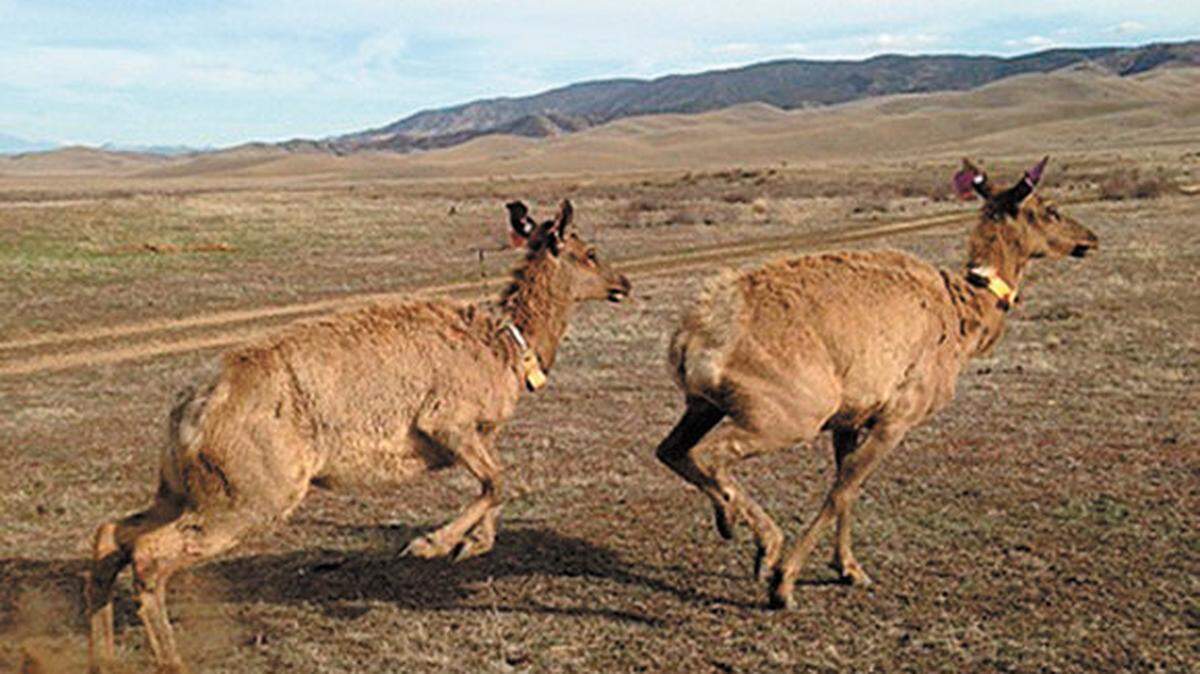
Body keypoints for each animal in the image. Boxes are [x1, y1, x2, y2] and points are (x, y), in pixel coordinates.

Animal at [85, 200, 631, 673]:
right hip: (249, 502)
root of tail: (194, 406)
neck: (510, 344)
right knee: (149, 556)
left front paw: (468, 545)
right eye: (589, 252)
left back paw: (104, 657)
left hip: (182, 492)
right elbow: (498, 483)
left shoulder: (477, 438)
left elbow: (496, 485)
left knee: (111, 536)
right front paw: (430, 544)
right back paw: (170, 660)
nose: (623, 282)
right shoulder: (447, 423)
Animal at [655, 157, 1098, 610]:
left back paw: (732, 523)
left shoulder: (848, 421)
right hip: (788, 417)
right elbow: (843, 490)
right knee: (711, 454)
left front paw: (849, 568)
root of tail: (698, 332)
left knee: (671, 450)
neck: (965, 313)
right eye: (1050, 209)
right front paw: (785, 583)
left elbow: (845, 490)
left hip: (704, 406)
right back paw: (765, 544)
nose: (1090, 238)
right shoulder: (895, 421)